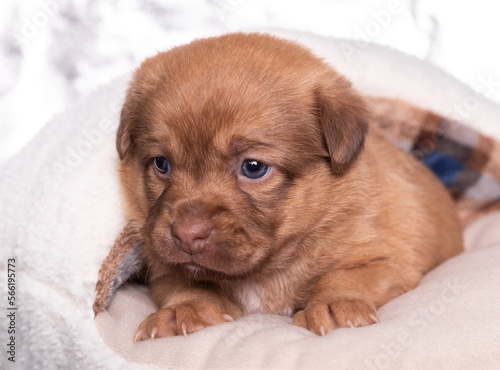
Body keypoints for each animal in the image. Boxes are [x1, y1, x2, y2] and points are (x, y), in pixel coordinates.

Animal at [115, 33, 462, 340]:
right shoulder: (165, 269)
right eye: (161, 163)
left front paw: (334, 303)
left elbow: (343, 275)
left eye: (253, 167)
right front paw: (183, 310)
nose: (187, 235)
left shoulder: (389, 260)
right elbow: (188, 282)